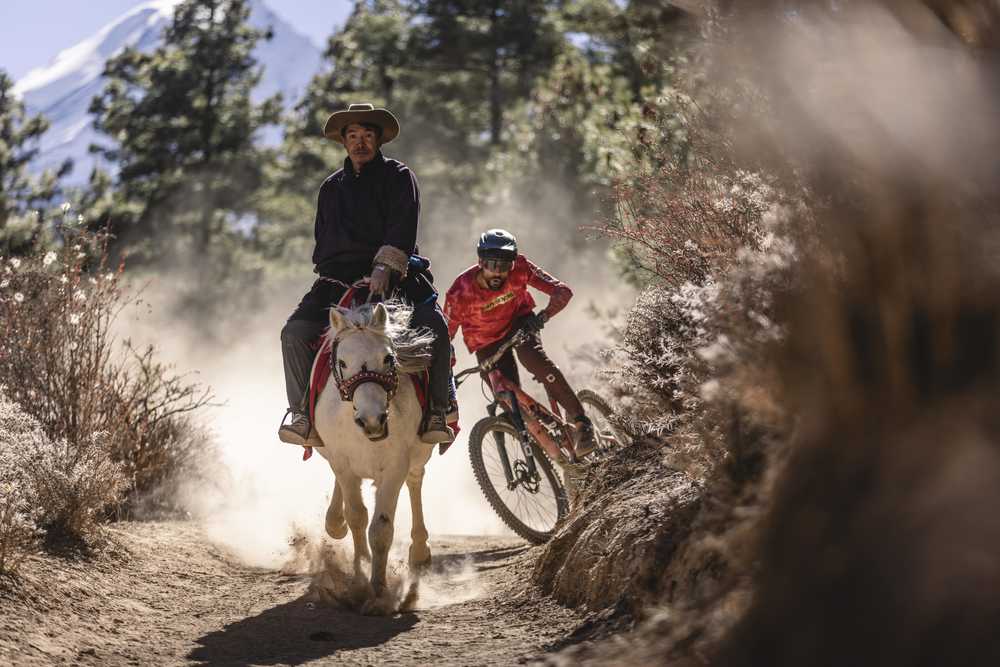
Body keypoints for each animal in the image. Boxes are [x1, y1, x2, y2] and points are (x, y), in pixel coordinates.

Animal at [312, 300, 438, 608]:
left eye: (388, 358)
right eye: (342, 363)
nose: (372, 420)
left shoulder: (395, 466)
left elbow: (381, 530)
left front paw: (378, 592)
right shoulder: (343, 463)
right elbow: (357, 516)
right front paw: (360, 577)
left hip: (418, 456)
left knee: (415, 481)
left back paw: (420, 550)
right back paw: (335, 522)